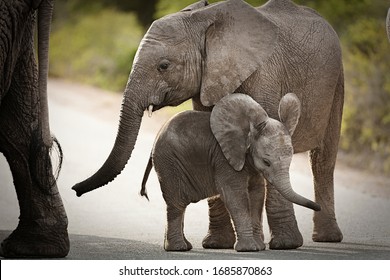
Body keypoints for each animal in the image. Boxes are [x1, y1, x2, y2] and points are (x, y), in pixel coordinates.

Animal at [140, 92, 320, 252]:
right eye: (266, 162)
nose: (317, 207)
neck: (248, 131)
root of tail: (155, 141)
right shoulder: (224, 159)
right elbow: (235, 196)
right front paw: (249, 249)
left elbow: (256, 194)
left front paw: (259, 247)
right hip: (169, 164)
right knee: (177, 203)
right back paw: (179, 248)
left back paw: (182, 246)